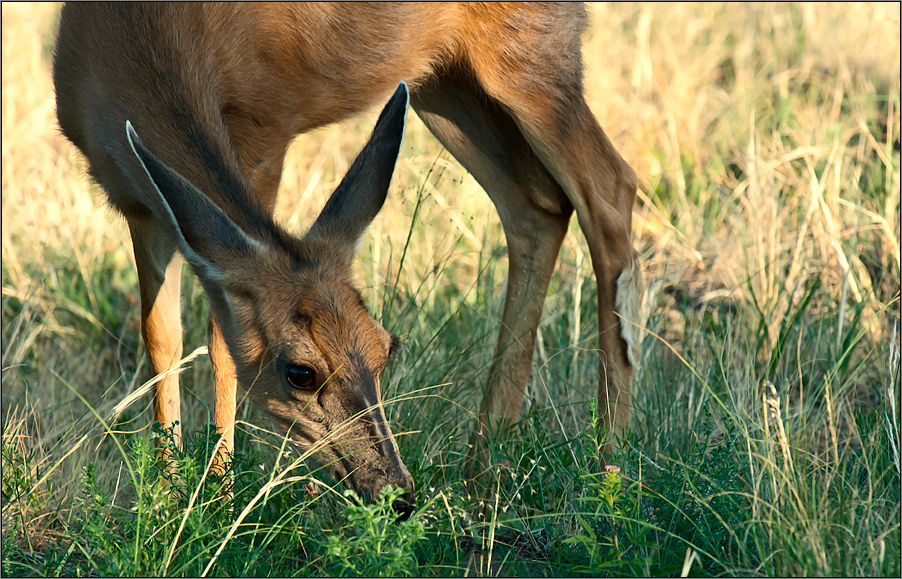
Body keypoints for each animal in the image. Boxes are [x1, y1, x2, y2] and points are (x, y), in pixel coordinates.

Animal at [51, 0, 644, 516]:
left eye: (387, 350)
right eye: (302, 373)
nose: (397, 494)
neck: (143, 38)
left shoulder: (265, 130)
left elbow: (221, 338)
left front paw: (216, 497)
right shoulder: (136, 198)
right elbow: (160, 337)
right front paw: (166, 494)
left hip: (534, 49)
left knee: (609, 188)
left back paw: (610, 469)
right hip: (445, 82)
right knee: (536, 206)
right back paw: (483, 469)